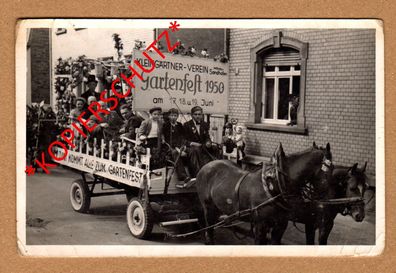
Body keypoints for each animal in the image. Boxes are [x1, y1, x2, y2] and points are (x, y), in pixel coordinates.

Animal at [196, 141, 332, 243]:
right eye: (329, 168)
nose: (327, 200)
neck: (275, 183)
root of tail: (207, 165)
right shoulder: (260, 225)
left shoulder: (280, 225)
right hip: (208, 208)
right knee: (209, 230)